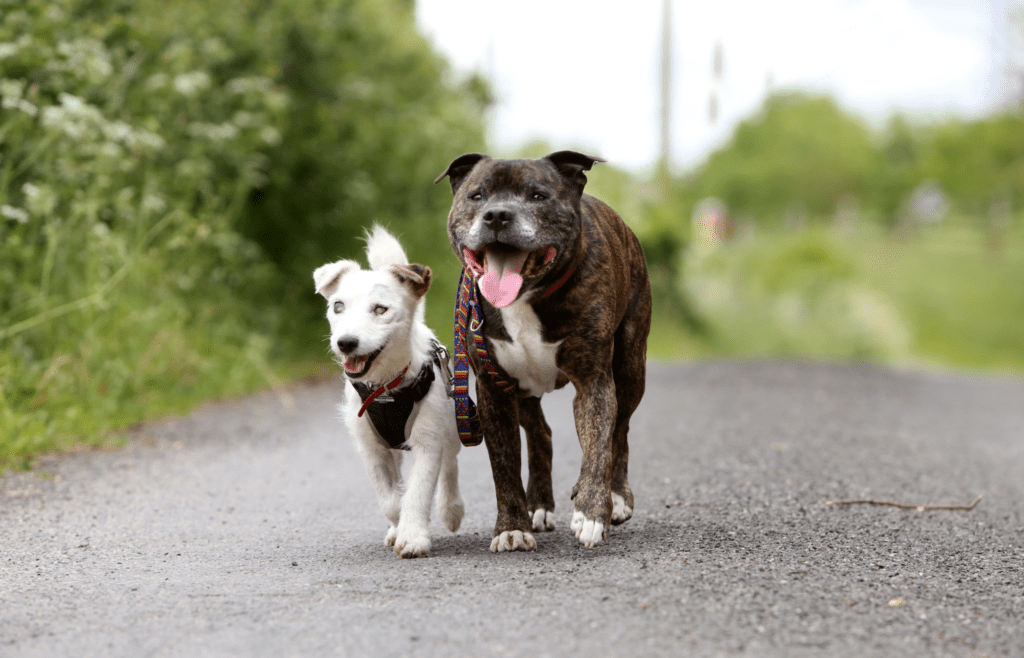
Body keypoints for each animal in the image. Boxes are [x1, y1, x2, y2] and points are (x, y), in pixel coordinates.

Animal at [313, 228, 466, 560]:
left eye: (380, 309)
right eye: (338, 306)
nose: (346, 342)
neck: (385, 389)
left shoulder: (428, 440)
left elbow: (418, 490)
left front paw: (413, 537)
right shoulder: (371, 447)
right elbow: (391, 498)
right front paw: (399, 526)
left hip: (450, 425)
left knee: (450, 466)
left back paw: (451, 509)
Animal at [436, 149, 651, 552]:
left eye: (538, 196)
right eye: (477, 196)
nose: (497, 215)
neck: (526, 297)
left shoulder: (594, 382)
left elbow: (599, 445)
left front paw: (592, 512)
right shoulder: (493, 390)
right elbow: (504, 465)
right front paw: (511, 527)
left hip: (631, 366)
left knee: (621, 431)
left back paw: (616, 498)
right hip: (521, 390)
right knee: (541, 434)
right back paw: (538, 505)